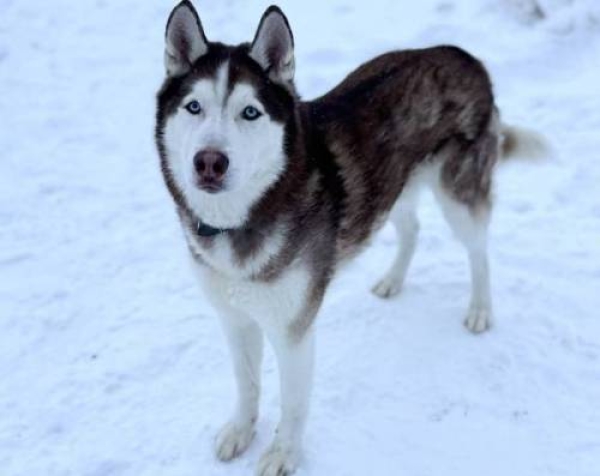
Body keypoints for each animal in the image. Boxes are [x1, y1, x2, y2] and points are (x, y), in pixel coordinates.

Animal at [155, 2, 546, 474]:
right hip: (391, 189)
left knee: (478, 250)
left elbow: (293, 404)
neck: (244, 216)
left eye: (250, 112)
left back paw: (480, 310)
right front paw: (240, 431)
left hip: (459, 195)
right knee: (412, 228)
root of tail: (464, 55)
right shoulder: (234, 318)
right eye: (193, 106)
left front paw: (283, 454)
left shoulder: (293, 330)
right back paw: (392, 281)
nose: (209, 161)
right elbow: (246, 383)